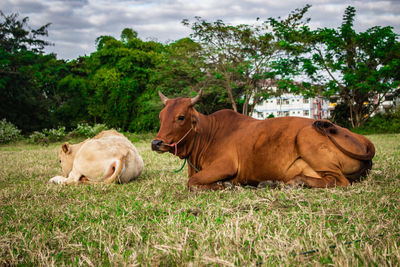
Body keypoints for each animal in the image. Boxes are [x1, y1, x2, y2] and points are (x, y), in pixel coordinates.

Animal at [151, 91, 376, 192]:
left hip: (306, 137)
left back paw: (295, 182)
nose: (156, 143)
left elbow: (192, 182)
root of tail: (363, 140)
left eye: (180, 117)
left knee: (340, 181)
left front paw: (226, 185)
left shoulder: (226, 165)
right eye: (160, 116)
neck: (207, 135)